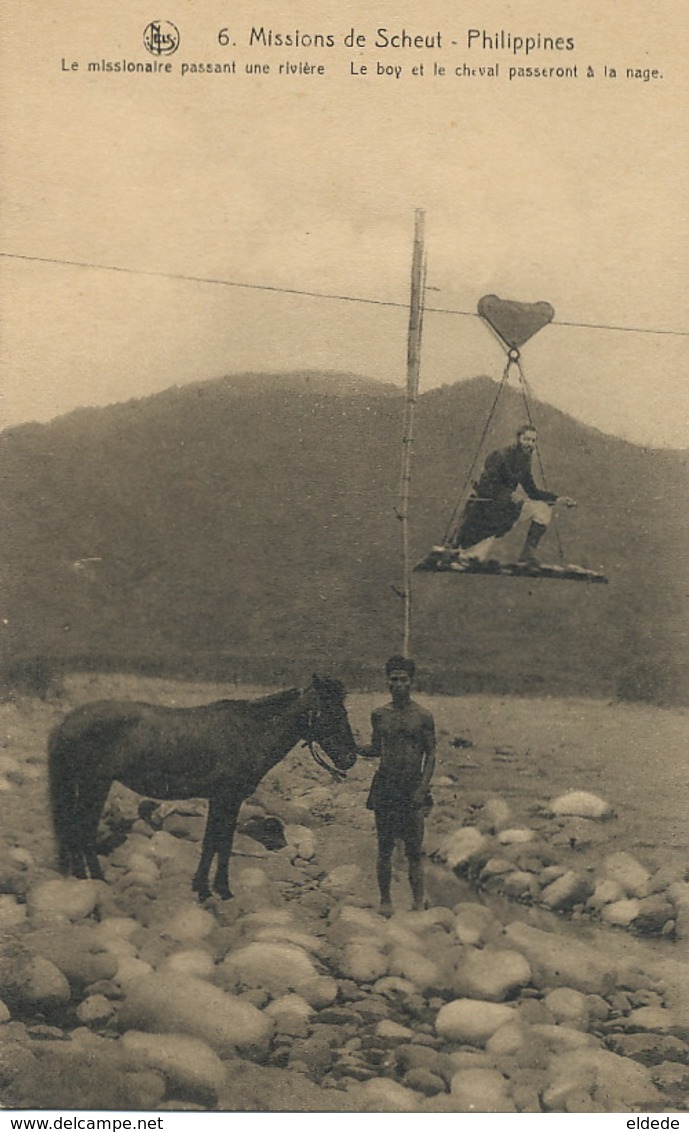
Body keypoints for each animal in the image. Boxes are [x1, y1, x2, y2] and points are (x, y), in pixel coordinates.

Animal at [48, 670, 357, 901]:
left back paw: (82, 878)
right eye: (330, 712)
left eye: (343, 711)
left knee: (75, 831)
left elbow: (213, 842)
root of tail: (68, 722)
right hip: (95, 785)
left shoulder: (220, 800)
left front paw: (203, 888)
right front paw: (220, 890)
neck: (249, 733)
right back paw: (97, 879)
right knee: (83, 831)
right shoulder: (227, 799)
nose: (350, 758)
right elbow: (220, 843)